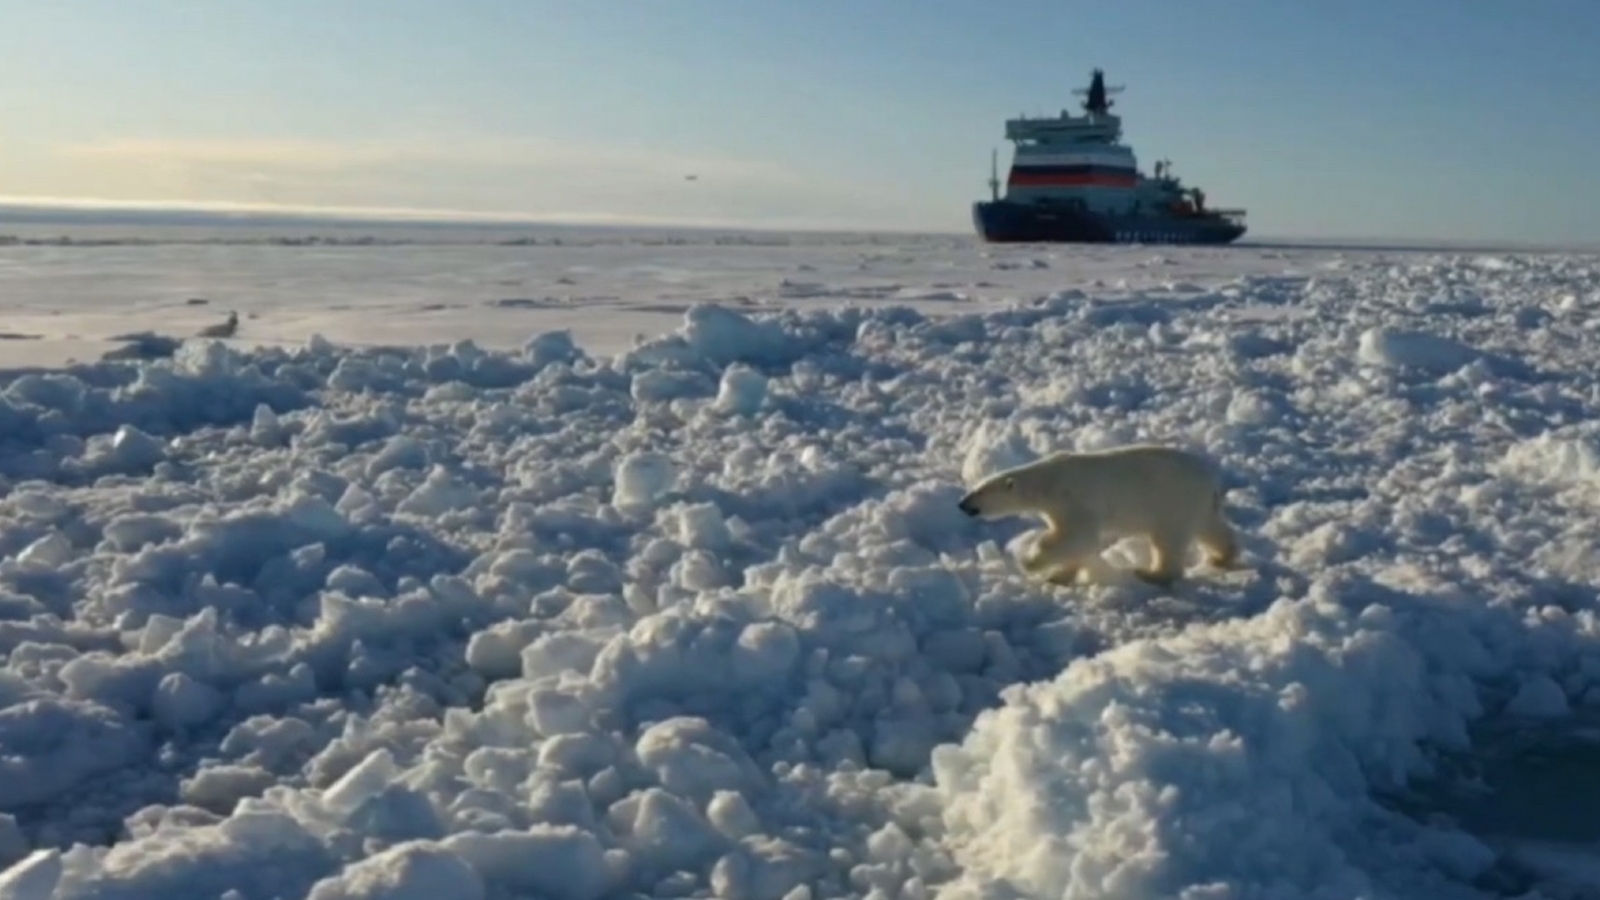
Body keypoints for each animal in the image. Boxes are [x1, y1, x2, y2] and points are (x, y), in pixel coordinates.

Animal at [953, 441, 1241, 589]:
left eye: (978, 491)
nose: (961, 504)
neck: (1048, 481)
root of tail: (1210, 480)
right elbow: (1076, 544)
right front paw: (1059, 576)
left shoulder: (1072, 499)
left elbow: (1077, 537)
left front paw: (1031, 562)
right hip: (1197, 504)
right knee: (1210, 527)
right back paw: (1222, 557)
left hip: (1172, 500)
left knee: (1167, 541)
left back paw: (1151, 574)